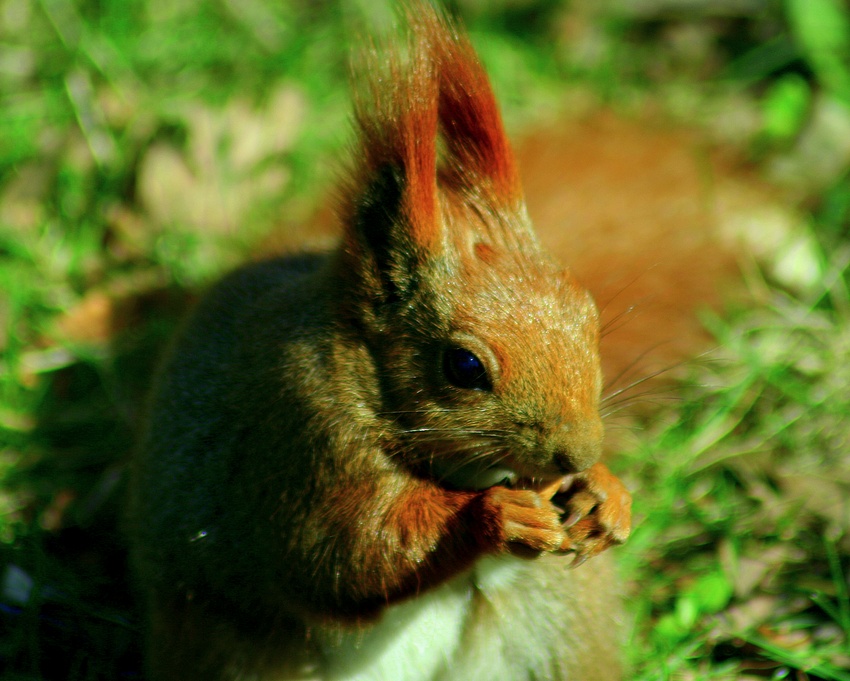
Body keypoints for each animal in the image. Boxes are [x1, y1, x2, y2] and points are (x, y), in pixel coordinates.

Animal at [127, 5, 636, 680]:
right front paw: (495, 515)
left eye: (588, 314)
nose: (578, 454)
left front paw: (607, 493)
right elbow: (342, 554)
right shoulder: (301, 439)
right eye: (464, 366)